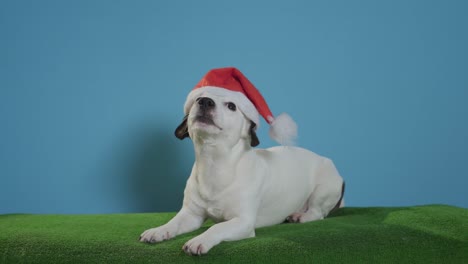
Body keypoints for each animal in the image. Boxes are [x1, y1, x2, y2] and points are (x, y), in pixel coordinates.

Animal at [139, 87, 344, 256]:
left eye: (231, 106)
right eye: (197, 98)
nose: (204, 101)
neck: (215, 163)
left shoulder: (242, 222)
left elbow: (216, 228)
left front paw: (200, 239)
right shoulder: (191, 215)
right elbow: (173, 223)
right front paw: (158, 230)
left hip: (323, 189)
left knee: (318, 213)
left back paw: (301, 216)